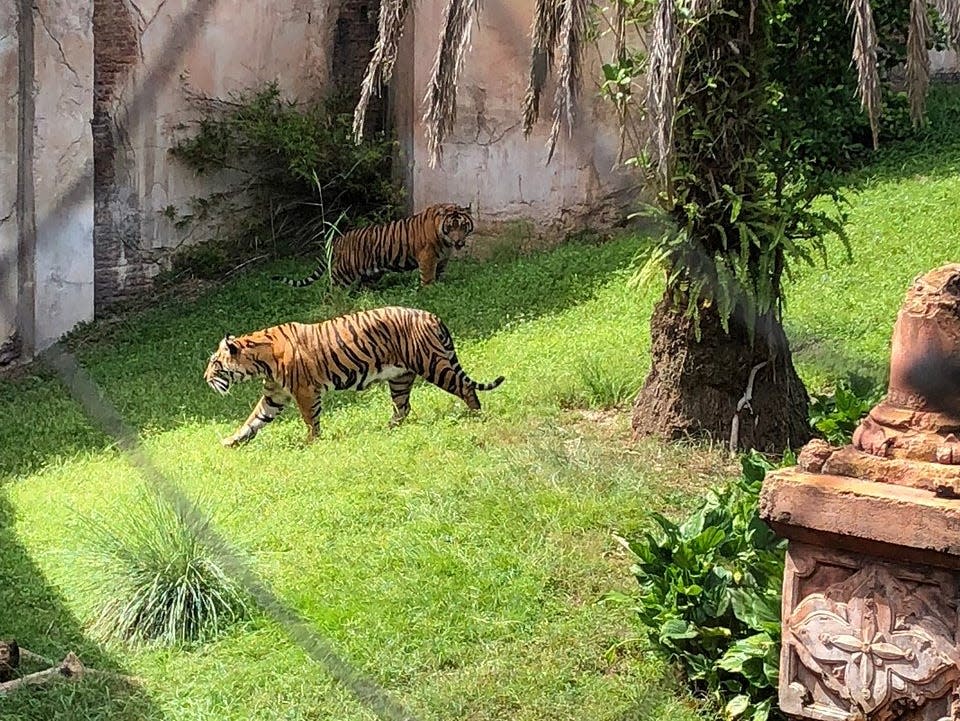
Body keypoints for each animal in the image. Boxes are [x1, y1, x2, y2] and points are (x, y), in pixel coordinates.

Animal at [202, 304, 502, 444]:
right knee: (403, 407)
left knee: (465, 387)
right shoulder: (274, 395)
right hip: (400, 378)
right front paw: (231, 442)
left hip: (432, 364)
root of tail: (431, 315)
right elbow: (253, 420)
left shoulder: (304, 391)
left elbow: (310, 419)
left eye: (215, 363)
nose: (205, 378)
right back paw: (387, 429)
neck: (260, 360)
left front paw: (311, 442)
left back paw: (476, 415)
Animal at [272, 201, 474, 288]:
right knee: (333, 287)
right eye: (451, 227)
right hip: (343, 271)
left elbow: (439, 273)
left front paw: (441, 286)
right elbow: (428, 277)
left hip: (371, 273)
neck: (445, 242)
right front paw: (429, 291)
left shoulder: (442, 259)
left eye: (463, 226)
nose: (458, 241)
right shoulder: (427, 257)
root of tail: (338, 238)